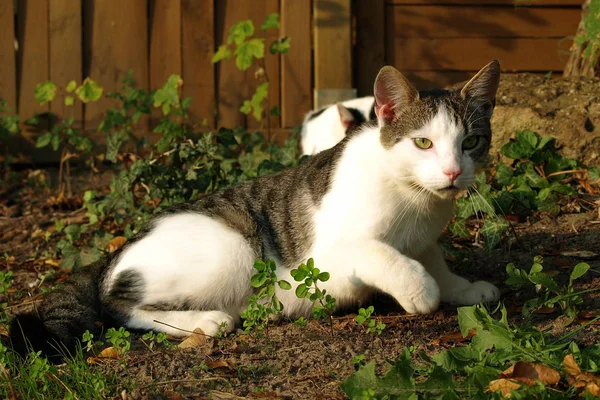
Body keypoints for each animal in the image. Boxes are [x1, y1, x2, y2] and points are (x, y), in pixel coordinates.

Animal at [9, 61, 502, 360]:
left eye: (471, 142)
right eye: (423, 142)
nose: (453, 172)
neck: (416, 202)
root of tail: (116, 250)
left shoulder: (425, 241)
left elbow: (437, 264)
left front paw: (464, 288)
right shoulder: (330, 255)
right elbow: (382, 255)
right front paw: (420, 290)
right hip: (233, 251)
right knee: (118, 305)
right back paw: (208, 320)